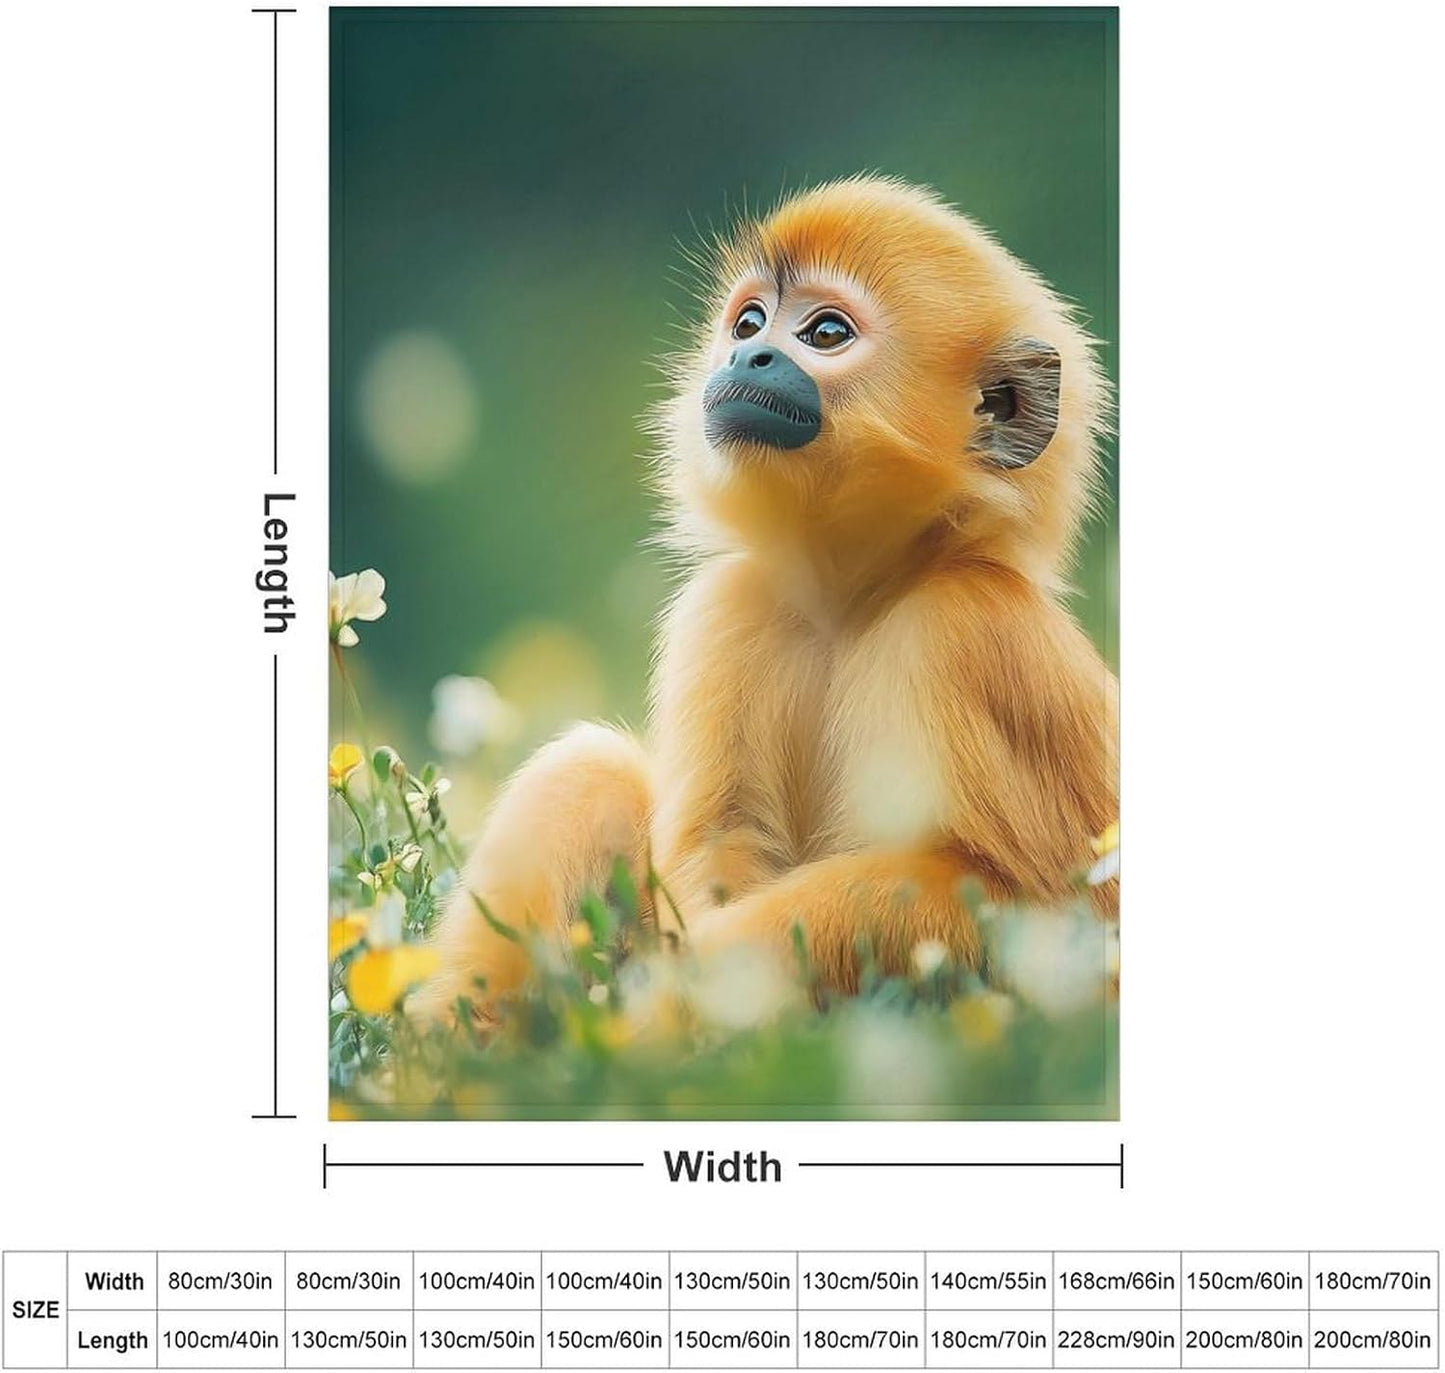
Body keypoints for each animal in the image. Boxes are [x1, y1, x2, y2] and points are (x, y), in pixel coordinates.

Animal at [409, 175, 1116, 1022]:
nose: (748, 353)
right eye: (748, 322)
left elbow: (1008, 894)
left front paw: (677, 999)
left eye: (825, 332)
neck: (856, 601)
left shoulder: (964, 628)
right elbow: (723, 836)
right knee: (588, 770)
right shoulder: (729, 606)